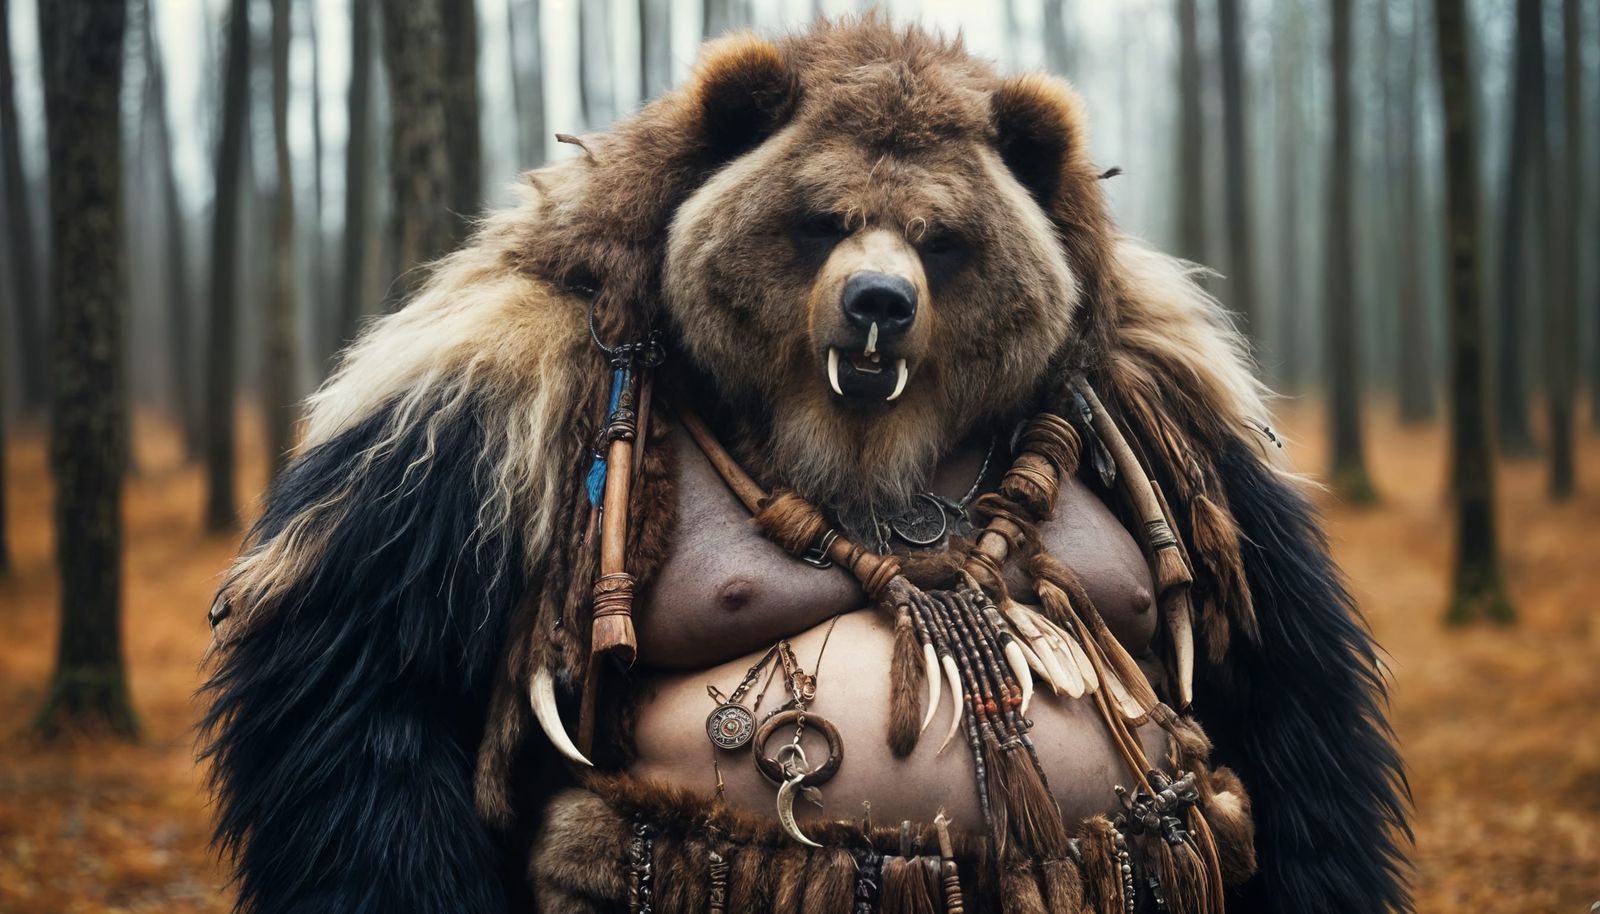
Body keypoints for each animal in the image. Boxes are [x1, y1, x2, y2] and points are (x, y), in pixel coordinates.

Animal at [202, 17, 1408, 914]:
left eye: (941, 236)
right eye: (822, 217)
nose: (879, 303)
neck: (862, 438)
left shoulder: (1167, 391)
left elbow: (1278, 671)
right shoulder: (491, 407)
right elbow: (368, 667)